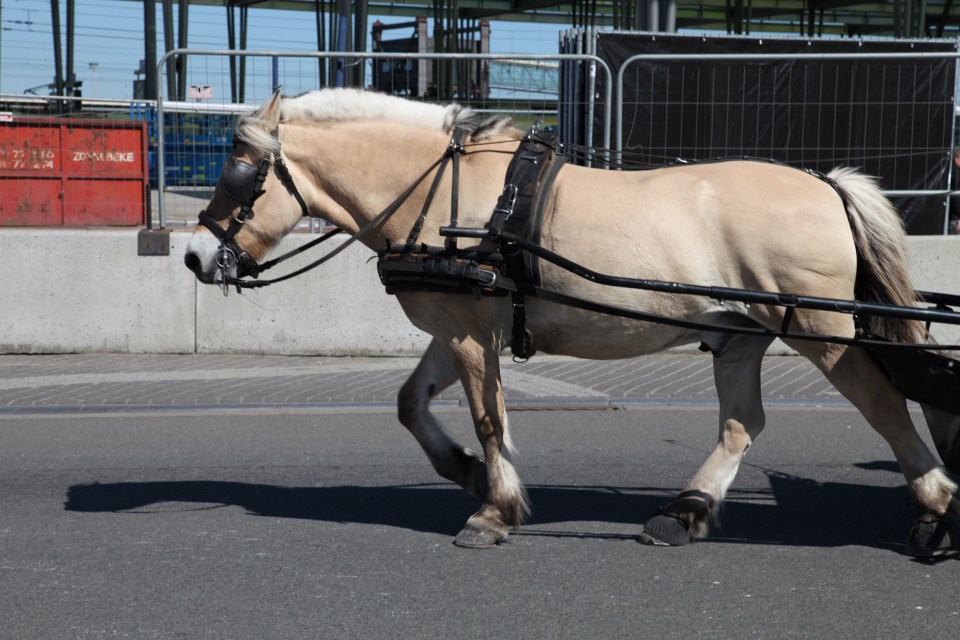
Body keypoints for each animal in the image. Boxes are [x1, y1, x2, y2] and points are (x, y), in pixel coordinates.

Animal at [184, 88, 960, 556]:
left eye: (236, 173)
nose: (193, 255)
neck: (446, 195)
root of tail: (827, 184)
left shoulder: (470, 331)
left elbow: (489, 418)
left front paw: (494, 508)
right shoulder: (458, 326)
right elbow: (411, 404)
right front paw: (467, 473)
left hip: (820, 329)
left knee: (885, 406)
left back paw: (935, 506)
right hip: (740, 334)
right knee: (743, 424)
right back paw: (685, 512)